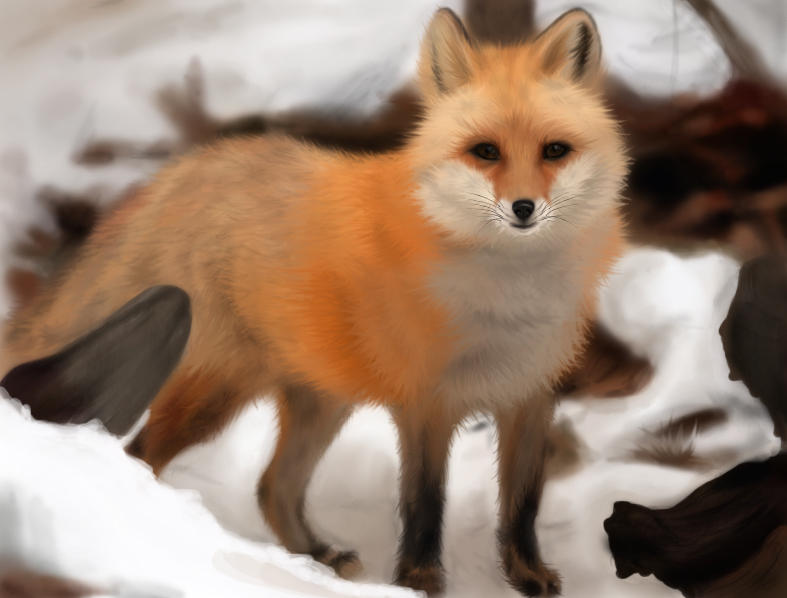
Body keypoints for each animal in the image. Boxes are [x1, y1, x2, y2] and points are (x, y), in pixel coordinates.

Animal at [0, 8, 626, 597]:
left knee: (271, 486)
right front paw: (420, 581)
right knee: (141, 453)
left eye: (554, 151)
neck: (509, 298)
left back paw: (314, 557)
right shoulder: (425, 403)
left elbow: (522, 506)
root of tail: (183, 171)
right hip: (214, 387)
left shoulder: (530, 397)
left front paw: (527, 576)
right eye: (486, 152)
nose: (523, 208)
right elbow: (424, 505)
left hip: (320, 401)